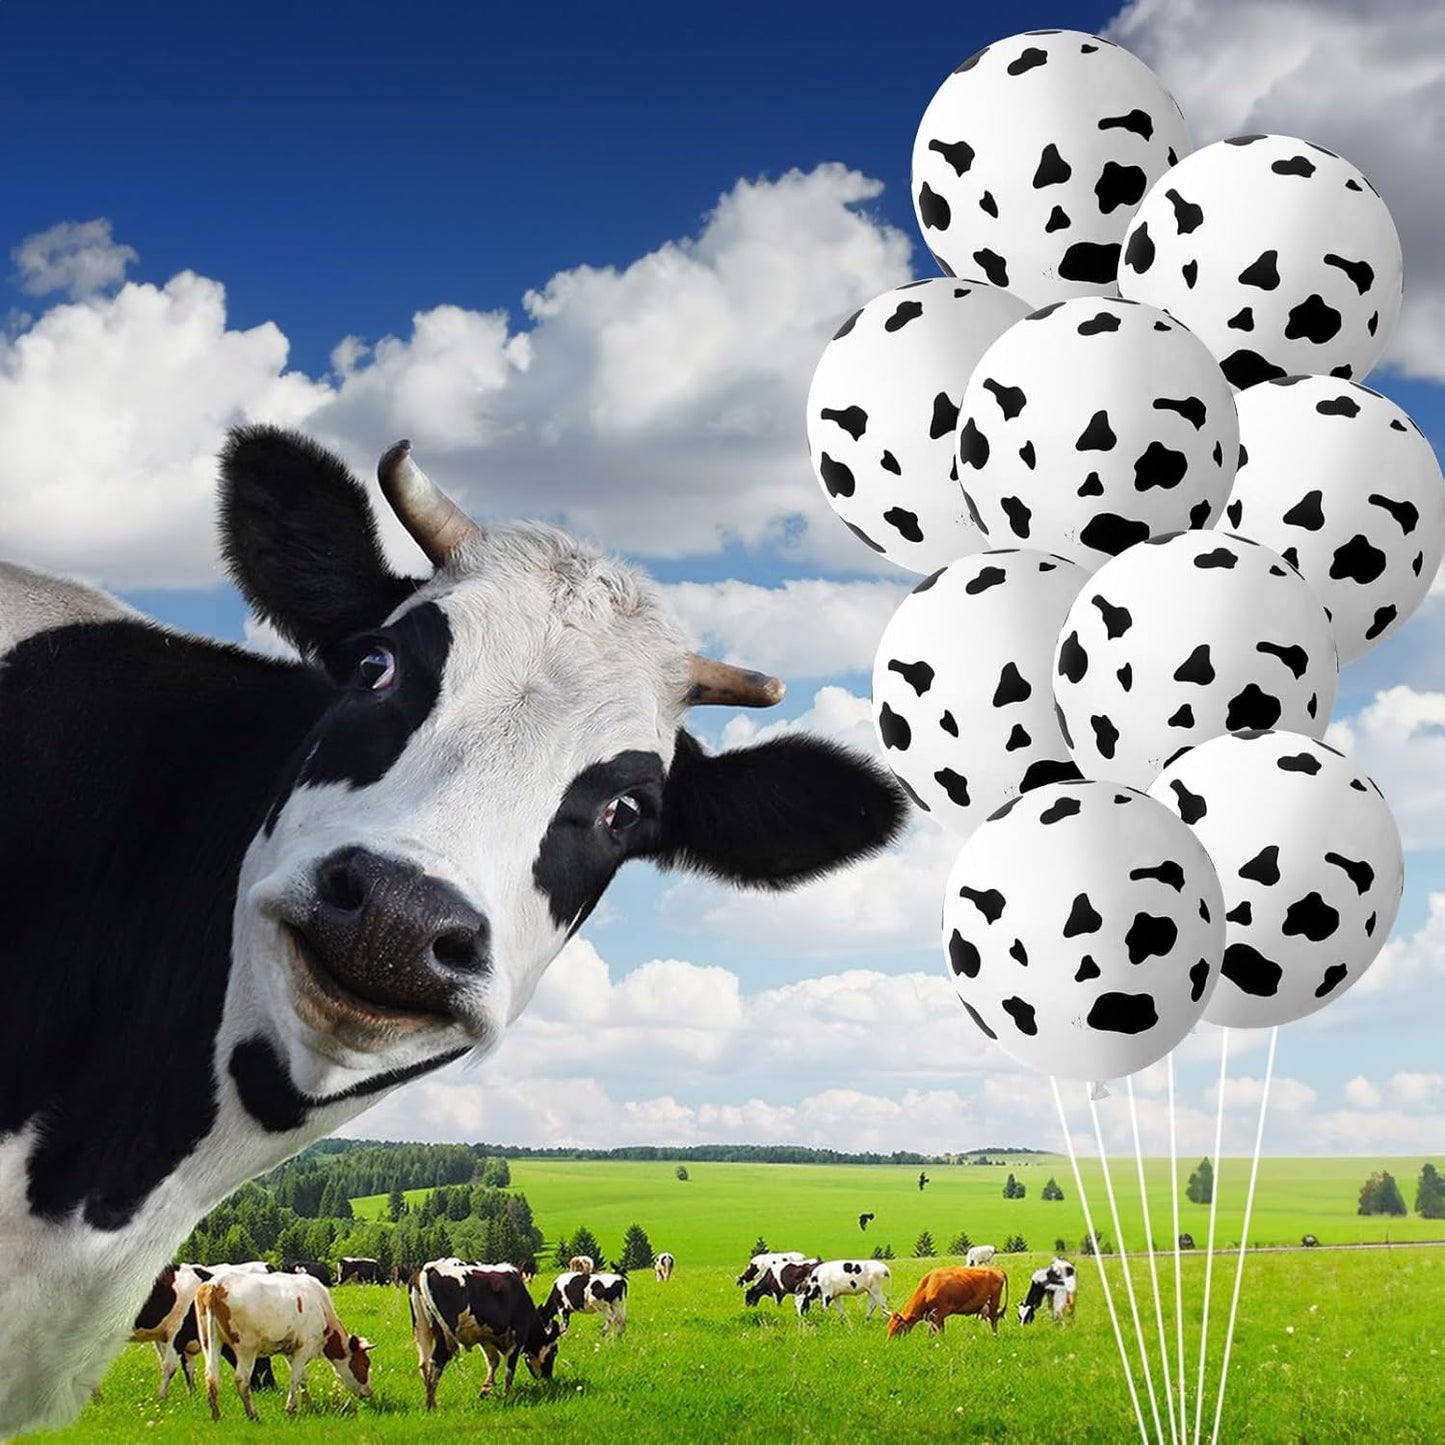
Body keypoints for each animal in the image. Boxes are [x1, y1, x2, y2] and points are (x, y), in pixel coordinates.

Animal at [195, 1270, 372, 1421]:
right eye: (365, 1364)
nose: (369, 1392)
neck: (322, 1308)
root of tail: (216, 1284)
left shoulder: (290, 1351)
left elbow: (302, 1378)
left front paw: (308, 1404)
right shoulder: (304, 1347)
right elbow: (295, 1378)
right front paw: (291, 1408)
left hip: (209, 1342)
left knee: (211, 1377)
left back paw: (216, 1415)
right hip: (246, 1347)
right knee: (241, 1380)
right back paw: (253, 1415)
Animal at [409, 1259, 560, 1405]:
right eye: (554, 1352)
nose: (549, 1378)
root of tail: (428, 1269)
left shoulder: (485, 1337)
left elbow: (494, 1361)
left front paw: (486, 1390)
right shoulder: (518, 1336)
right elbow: (509, 1368)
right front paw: (506, 1396)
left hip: (422, 1330)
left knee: (424, 1364)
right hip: (443, 1335)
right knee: (437, 1361)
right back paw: (432, 1405)